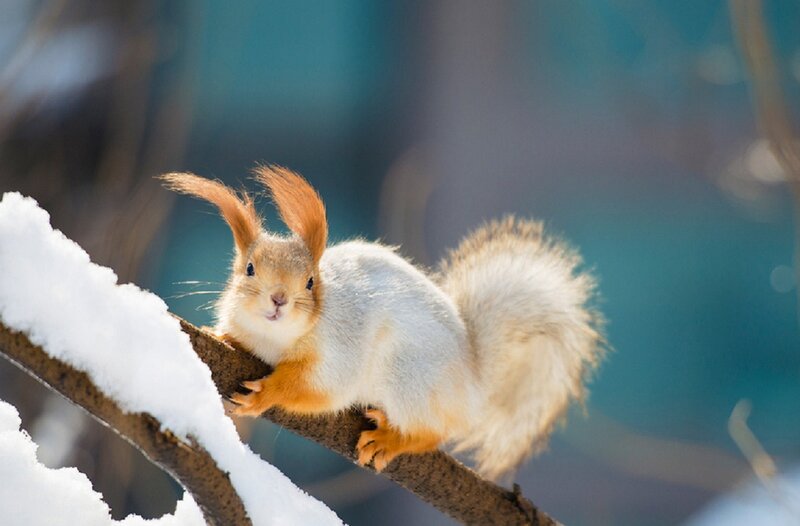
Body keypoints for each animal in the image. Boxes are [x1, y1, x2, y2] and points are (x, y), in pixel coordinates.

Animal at [161, 166, 604, 480]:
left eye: (310, 281)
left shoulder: (339, 351)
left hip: (408, 376)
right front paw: (221, 335)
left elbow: (320, 388)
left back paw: (391, 439)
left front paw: (268, 392)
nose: (279, 299)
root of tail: (474, 381)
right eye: (248, 269)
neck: (276, 339)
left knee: (433, 432)